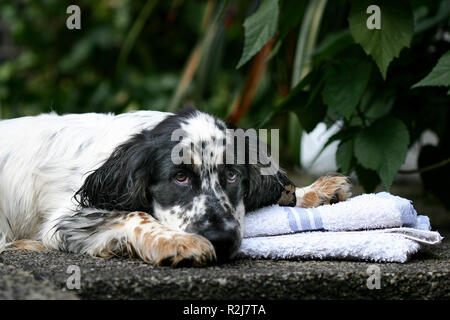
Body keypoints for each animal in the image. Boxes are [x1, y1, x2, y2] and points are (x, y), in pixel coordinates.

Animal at [0, 109, 352, 266]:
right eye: (179, 177)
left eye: (232, 175)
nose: (221, 240)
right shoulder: (66, 218)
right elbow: (135, 215)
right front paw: (179, 242)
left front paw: (316, 191)